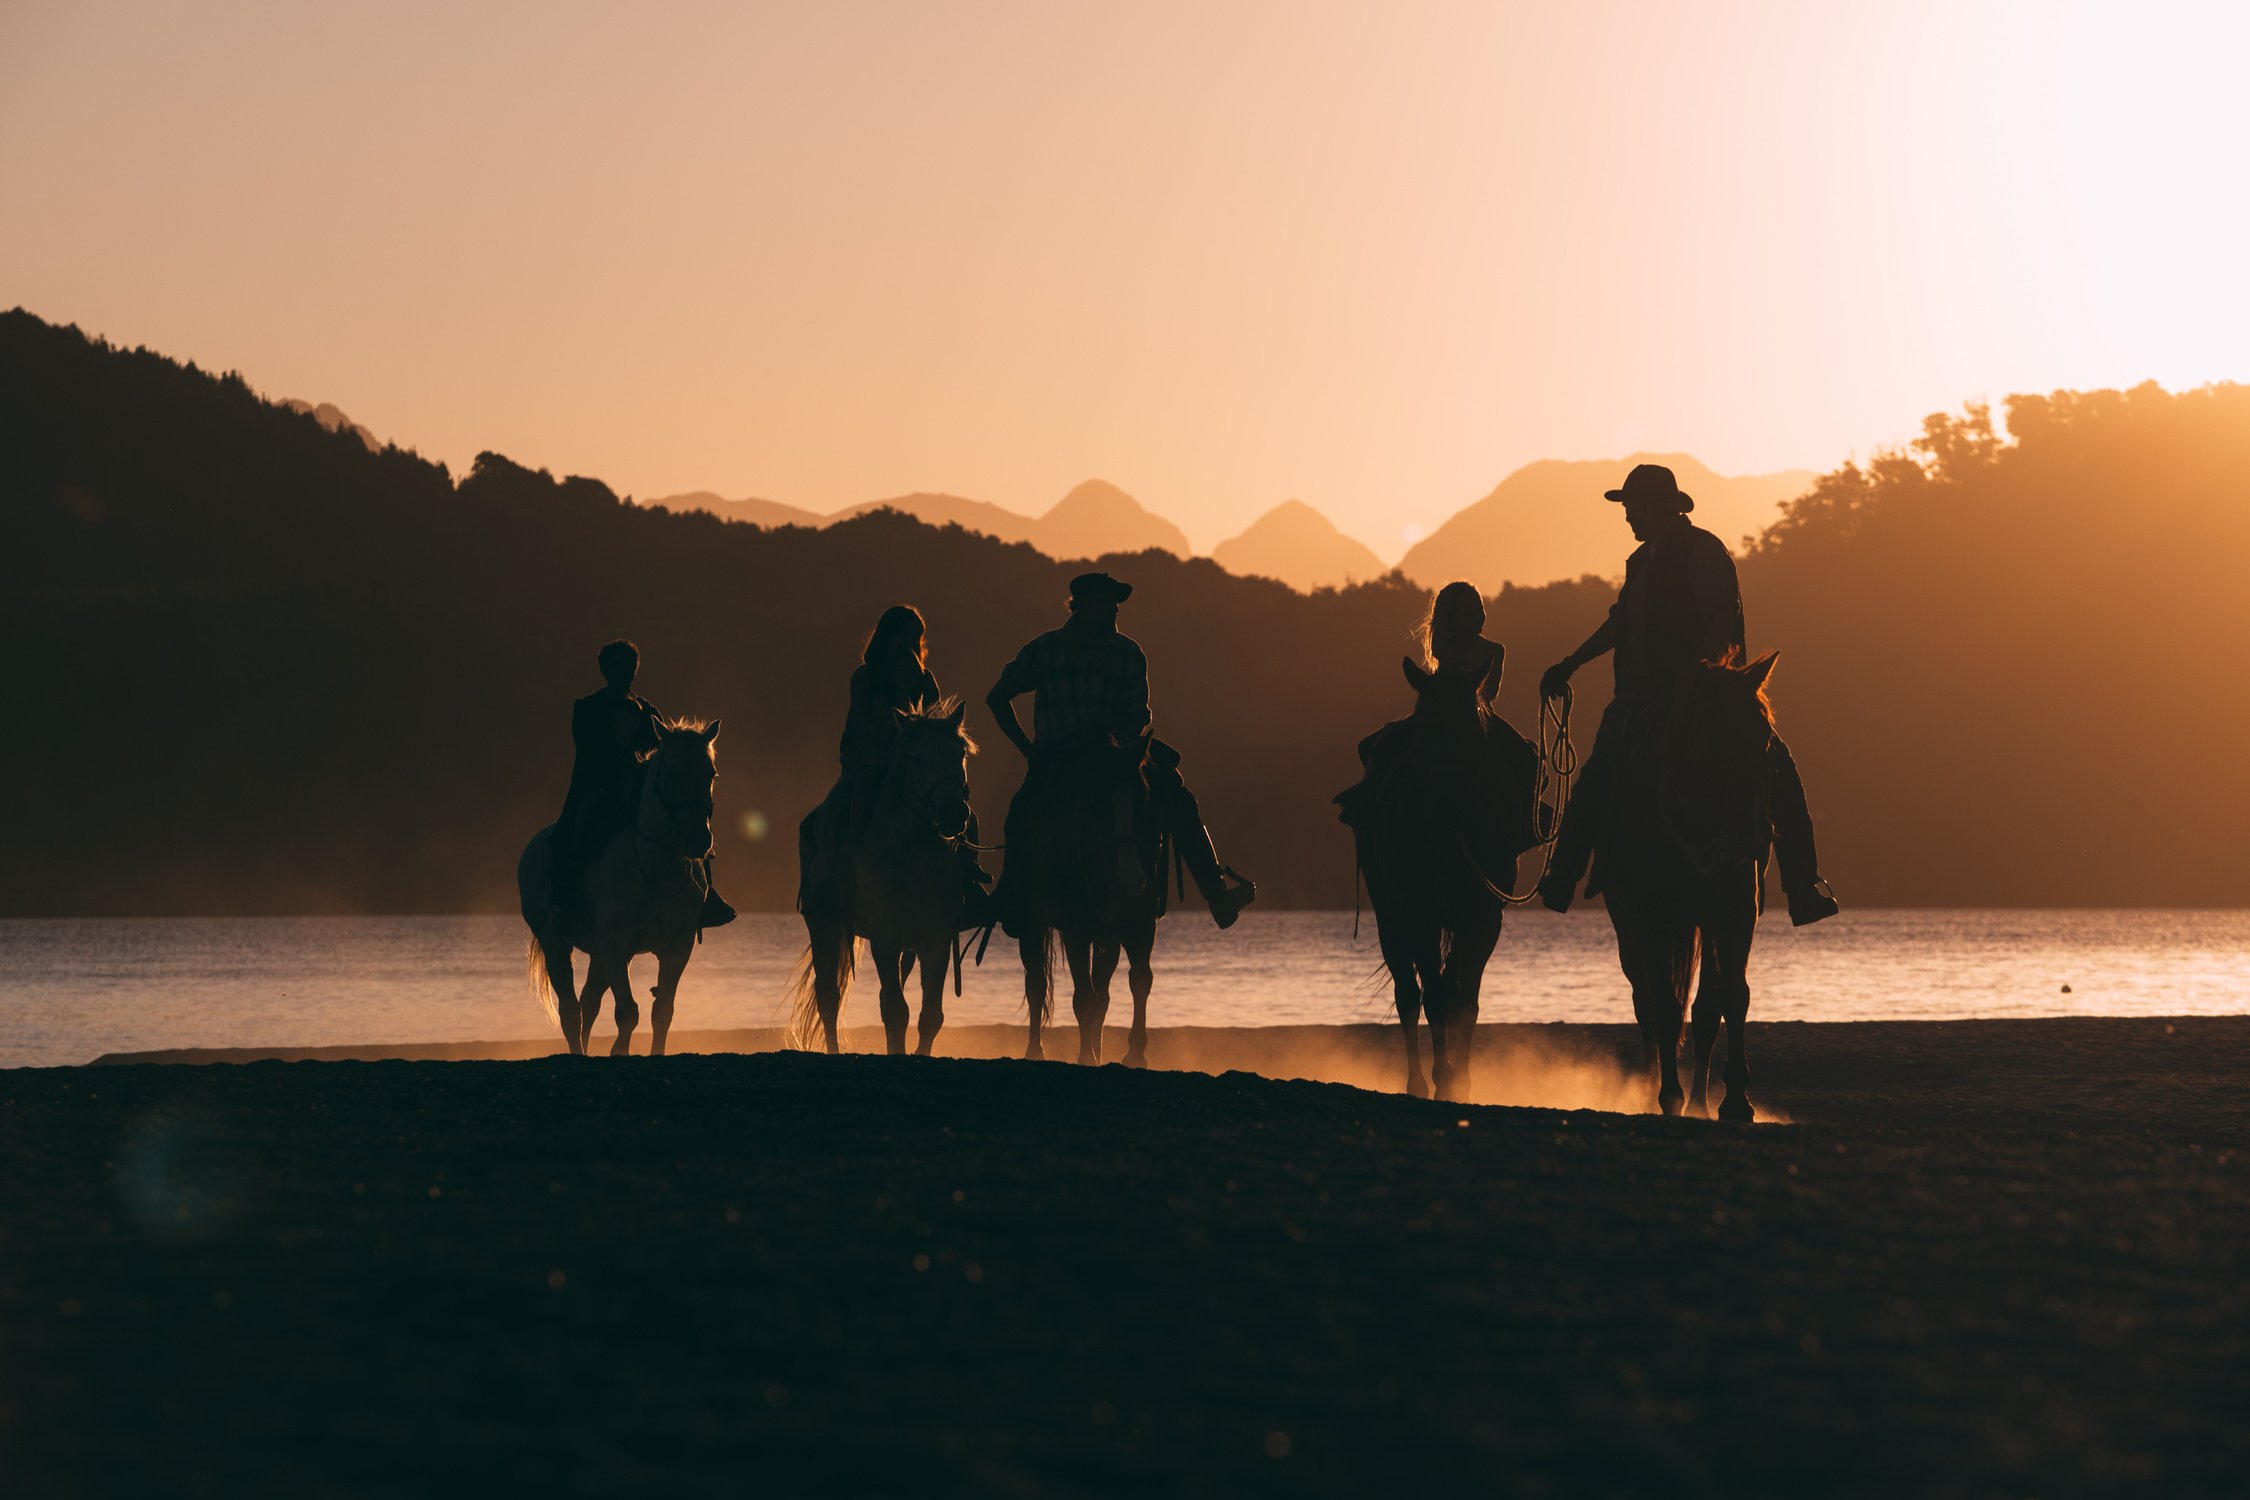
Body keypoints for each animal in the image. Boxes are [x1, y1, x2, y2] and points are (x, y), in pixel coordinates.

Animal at [517, 715, 720, 1056]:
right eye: (673, 774)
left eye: (710, 774)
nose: (699, 840)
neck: (653, 870)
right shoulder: (615, 946)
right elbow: (627, 1012)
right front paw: (619, 1051)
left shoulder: (677, 949)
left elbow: (662, 1011)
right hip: (555, 944)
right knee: (571, 1010)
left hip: (598, 956)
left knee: (589, 1003)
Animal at [792, 701, 976, 1056]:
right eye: (917, 758)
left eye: (959, 753)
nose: (952, 813)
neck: (912, 859)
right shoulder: (885, 940)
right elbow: (896, 1011)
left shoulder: (937, 942)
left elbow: (929, 1015)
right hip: (824, 925)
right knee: (829, 1000)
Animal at [1012, 737, 1170, 1065]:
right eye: (1099, 805)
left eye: (1144, 799)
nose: (1130, 874)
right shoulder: (1076, 930)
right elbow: (1083, 997)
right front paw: (1086, 1055)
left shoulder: (1139, 924)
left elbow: (1139, 980)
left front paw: (1135, 1052)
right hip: (1033, 924)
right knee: (1036, 984)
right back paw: (1035, 1050)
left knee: (1103, 991)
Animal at [1350, 656, 1512, 1101]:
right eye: (1423, 730)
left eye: (1473, 731)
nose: (1440, 798)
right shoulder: (1421, 916)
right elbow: (1436, 998)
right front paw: (1444, 1079)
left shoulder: (1484, 920)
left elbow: (1465, 1002)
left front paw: (1463, 1082)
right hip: (1390, 915)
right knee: (1408, 993)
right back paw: (1418, 1083)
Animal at [1602, 652, 1773, 1119]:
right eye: (1714, 740)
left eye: (1765, 739)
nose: (1755, 837)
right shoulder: (1652, 918)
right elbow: (1663, 1007)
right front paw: (1668, 1097)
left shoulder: (1734, 912)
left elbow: (1730, 997)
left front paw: (1736, 1100)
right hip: (1629, 925)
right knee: (1644, 1000)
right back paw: (1651, 1090)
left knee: (1703, 1009)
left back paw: (1699, 1101)